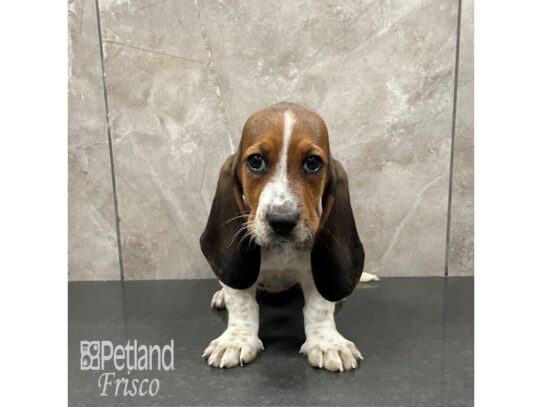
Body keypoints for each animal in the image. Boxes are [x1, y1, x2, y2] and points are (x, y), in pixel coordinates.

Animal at [200, 102, 366, 372]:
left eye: (312, 162)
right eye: (256, 161)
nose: (282, 221)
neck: (280, 251)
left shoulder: (314, 274)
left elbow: (319, 308)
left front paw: (328, 343)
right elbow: (242, 303)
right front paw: (236, 341)